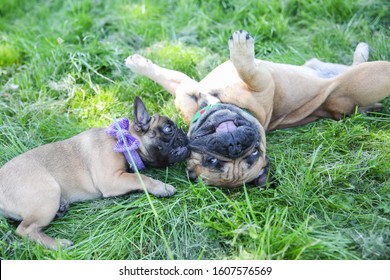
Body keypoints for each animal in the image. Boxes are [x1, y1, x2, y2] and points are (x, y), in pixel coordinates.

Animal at [0, 96, 189, 249]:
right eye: (168, 129)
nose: (184, 134)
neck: (124, 142)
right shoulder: (111, 179)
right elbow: (139, 177)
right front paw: (162, 187)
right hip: (48, 194)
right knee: (24, 230)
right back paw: (58, 244)